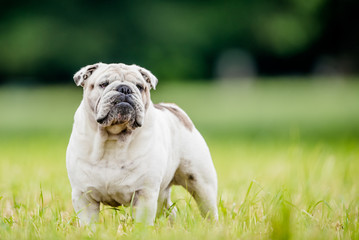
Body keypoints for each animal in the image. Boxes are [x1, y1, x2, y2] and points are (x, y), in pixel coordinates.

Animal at [67, 62, 219, 226]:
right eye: (103, 84)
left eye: (140, 86)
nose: (124, 88)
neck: (114, 137)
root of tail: (173, 108)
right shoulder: (84, 196)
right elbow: (89, 223)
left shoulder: (144, 194)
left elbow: (142, 223)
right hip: (162, 196)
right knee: (169, 211)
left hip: (201, 184)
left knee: (209, 209)